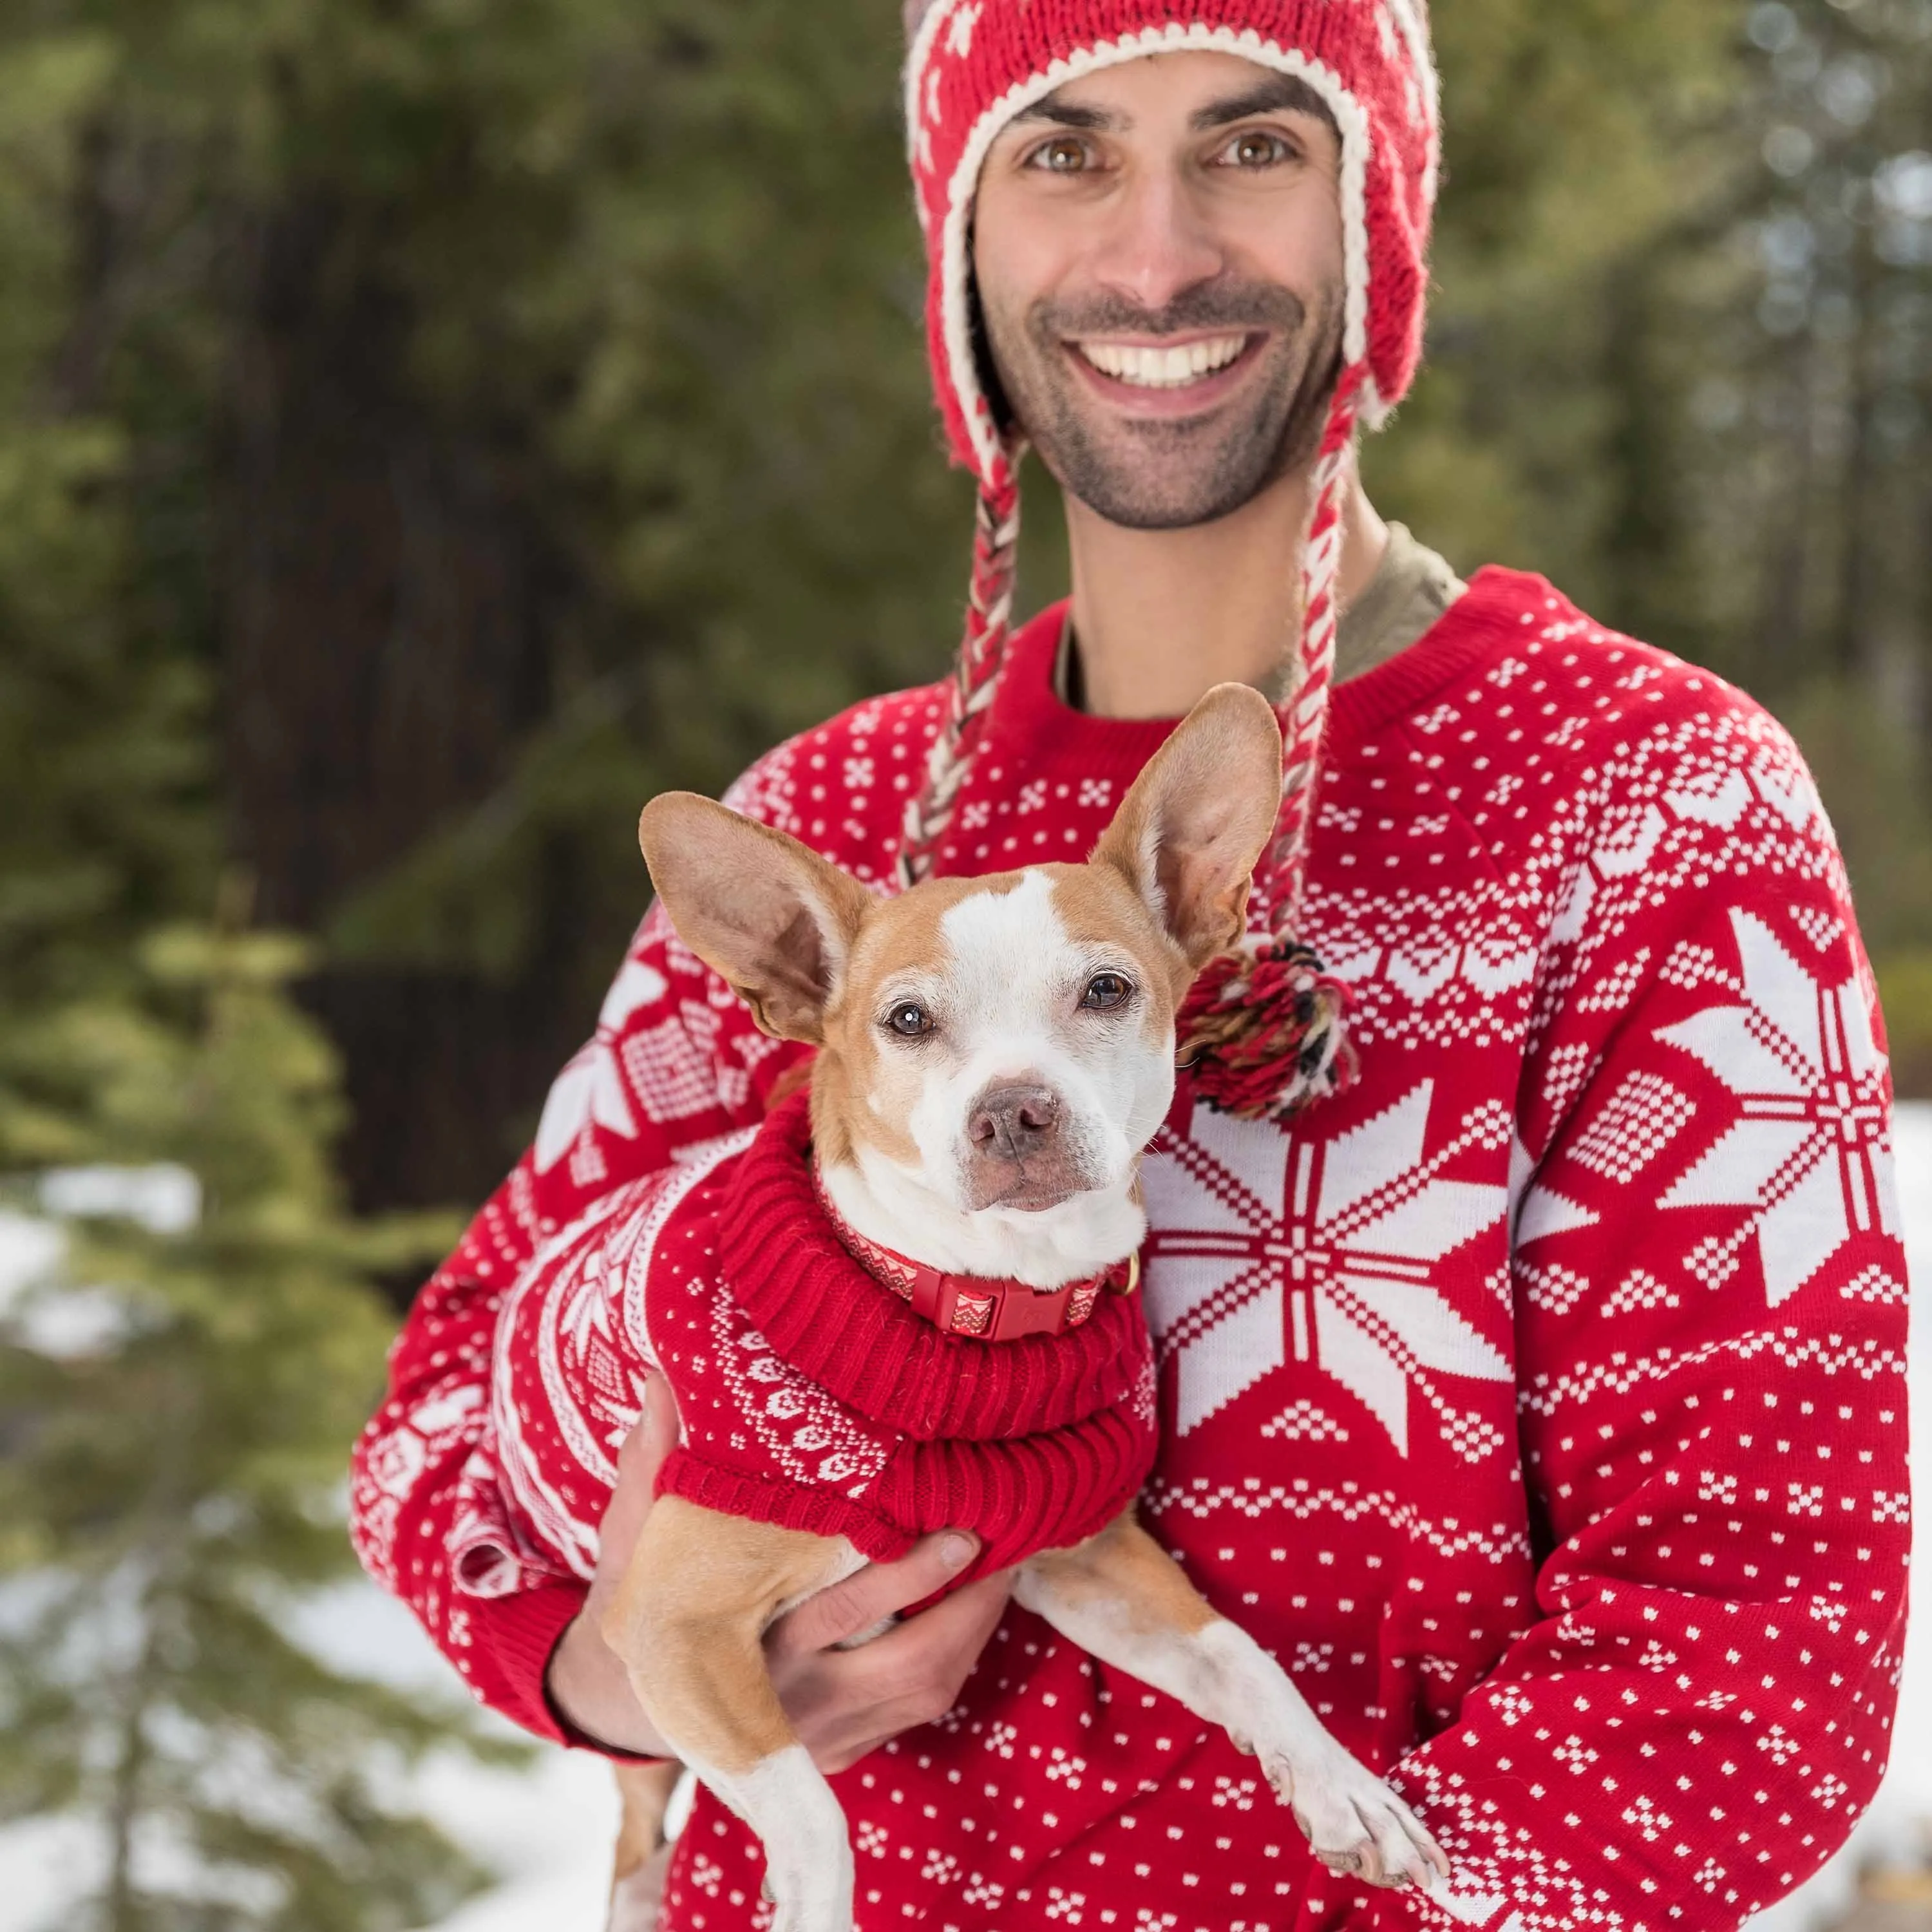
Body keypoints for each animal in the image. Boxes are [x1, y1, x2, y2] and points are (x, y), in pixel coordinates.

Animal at [611, 688, 1445, 1924]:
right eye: (907, 1022)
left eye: (1105, 990)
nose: (1012, 1112)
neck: (977, 1303)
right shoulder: (671, 1626)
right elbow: (812, 1816)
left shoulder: (1091, 1560)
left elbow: (1240, 1653)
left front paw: (1343, 1787)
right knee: (635, 1832)